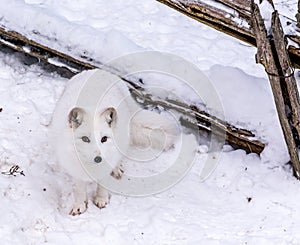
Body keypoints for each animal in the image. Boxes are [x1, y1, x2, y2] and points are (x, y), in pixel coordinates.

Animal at [50, 68, 179, 214]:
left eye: (104, 139)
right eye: (85, 139)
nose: (98, 159)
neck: (92, 168)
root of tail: (99, 70)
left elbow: (103, 185)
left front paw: (101, 199)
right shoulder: (75, 169)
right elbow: (80, 190)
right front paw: (79, 205)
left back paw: (117, 168)